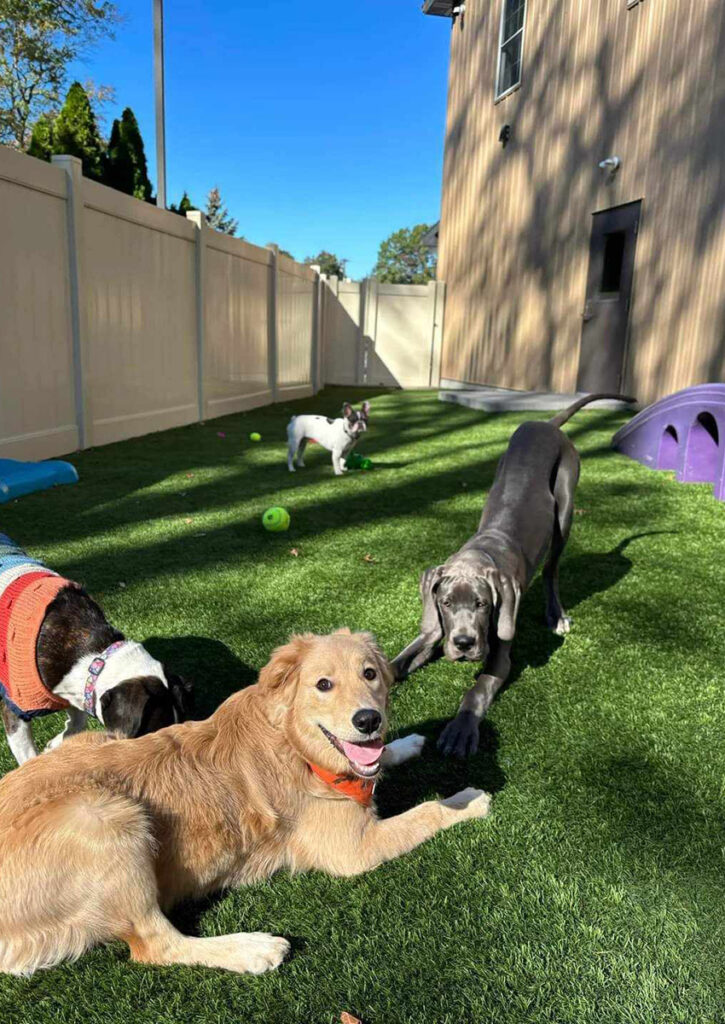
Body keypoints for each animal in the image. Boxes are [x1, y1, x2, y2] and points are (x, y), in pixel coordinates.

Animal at [0, 622, 493, 974]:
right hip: (106, 819)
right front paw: (467, 799)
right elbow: (426, 810)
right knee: (155, 945)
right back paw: (252, 949)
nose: (369, 720)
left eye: (370, 674)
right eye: (323, 685)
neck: (294, 745)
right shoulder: (354, 850)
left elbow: (380, 758)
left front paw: (406, 743)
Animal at [391, 395, 634, 757]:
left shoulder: (501, 652)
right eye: (445, 603)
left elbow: (478, 687)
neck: (479, 553)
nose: (464, 644)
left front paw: (461, 729)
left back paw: (557, 615)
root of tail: (546, 424)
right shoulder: (434, 632)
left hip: (565, 506)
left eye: (482, 604)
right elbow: (395, 663)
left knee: (551, 568)